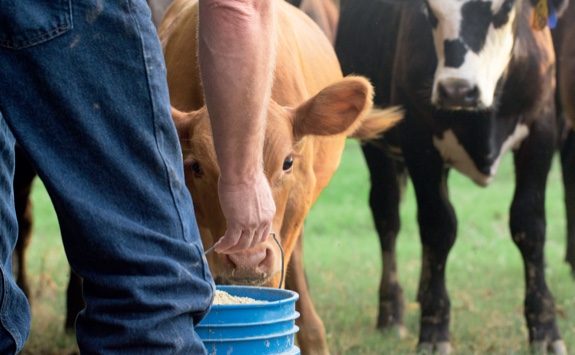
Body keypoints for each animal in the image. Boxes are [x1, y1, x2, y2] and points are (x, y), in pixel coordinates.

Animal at [336, 0, 568, 354]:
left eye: (503, 11)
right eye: (429, 11)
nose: (456, 90)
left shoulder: (541, 131)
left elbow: (529, 226)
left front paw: (544, 327)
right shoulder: (419, 142)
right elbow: (438, 228)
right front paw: (434, 328)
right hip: (375, 142)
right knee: (387, 217)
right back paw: (391, 312)